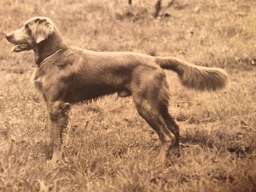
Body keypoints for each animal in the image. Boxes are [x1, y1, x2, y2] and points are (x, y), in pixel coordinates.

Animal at [5, 16, 228, 164]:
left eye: (27, 26)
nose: (6, 34)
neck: (54, 55)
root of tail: (154, 59)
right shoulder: (61, 107)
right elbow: (60, 135)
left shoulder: (55, 105)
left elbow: (55, 139)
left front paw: (54, 162)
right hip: (159, 104)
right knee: (175, 128)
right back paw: (175, 158)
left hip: (145, 105)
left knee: (166, 135)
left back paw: (158, 163)